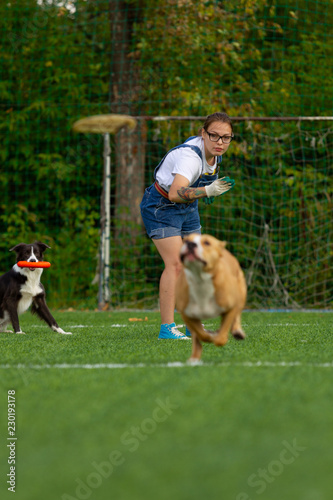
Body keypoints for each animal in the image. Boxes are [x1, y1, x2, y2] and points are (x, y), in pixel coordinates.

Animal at [175, 232, 245, 362]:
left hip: (241, 293)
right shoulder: (187, 314)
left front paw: (218, 336)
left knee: (237, 314)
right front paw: (209, 335)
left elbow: (221, 339)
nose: (190, 244)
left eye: (207, 242)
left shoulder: (230, 308)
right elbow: (201, 335)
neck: (200, 279)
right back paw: (194, 359)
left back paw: (237, 331)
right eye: (186, 240)